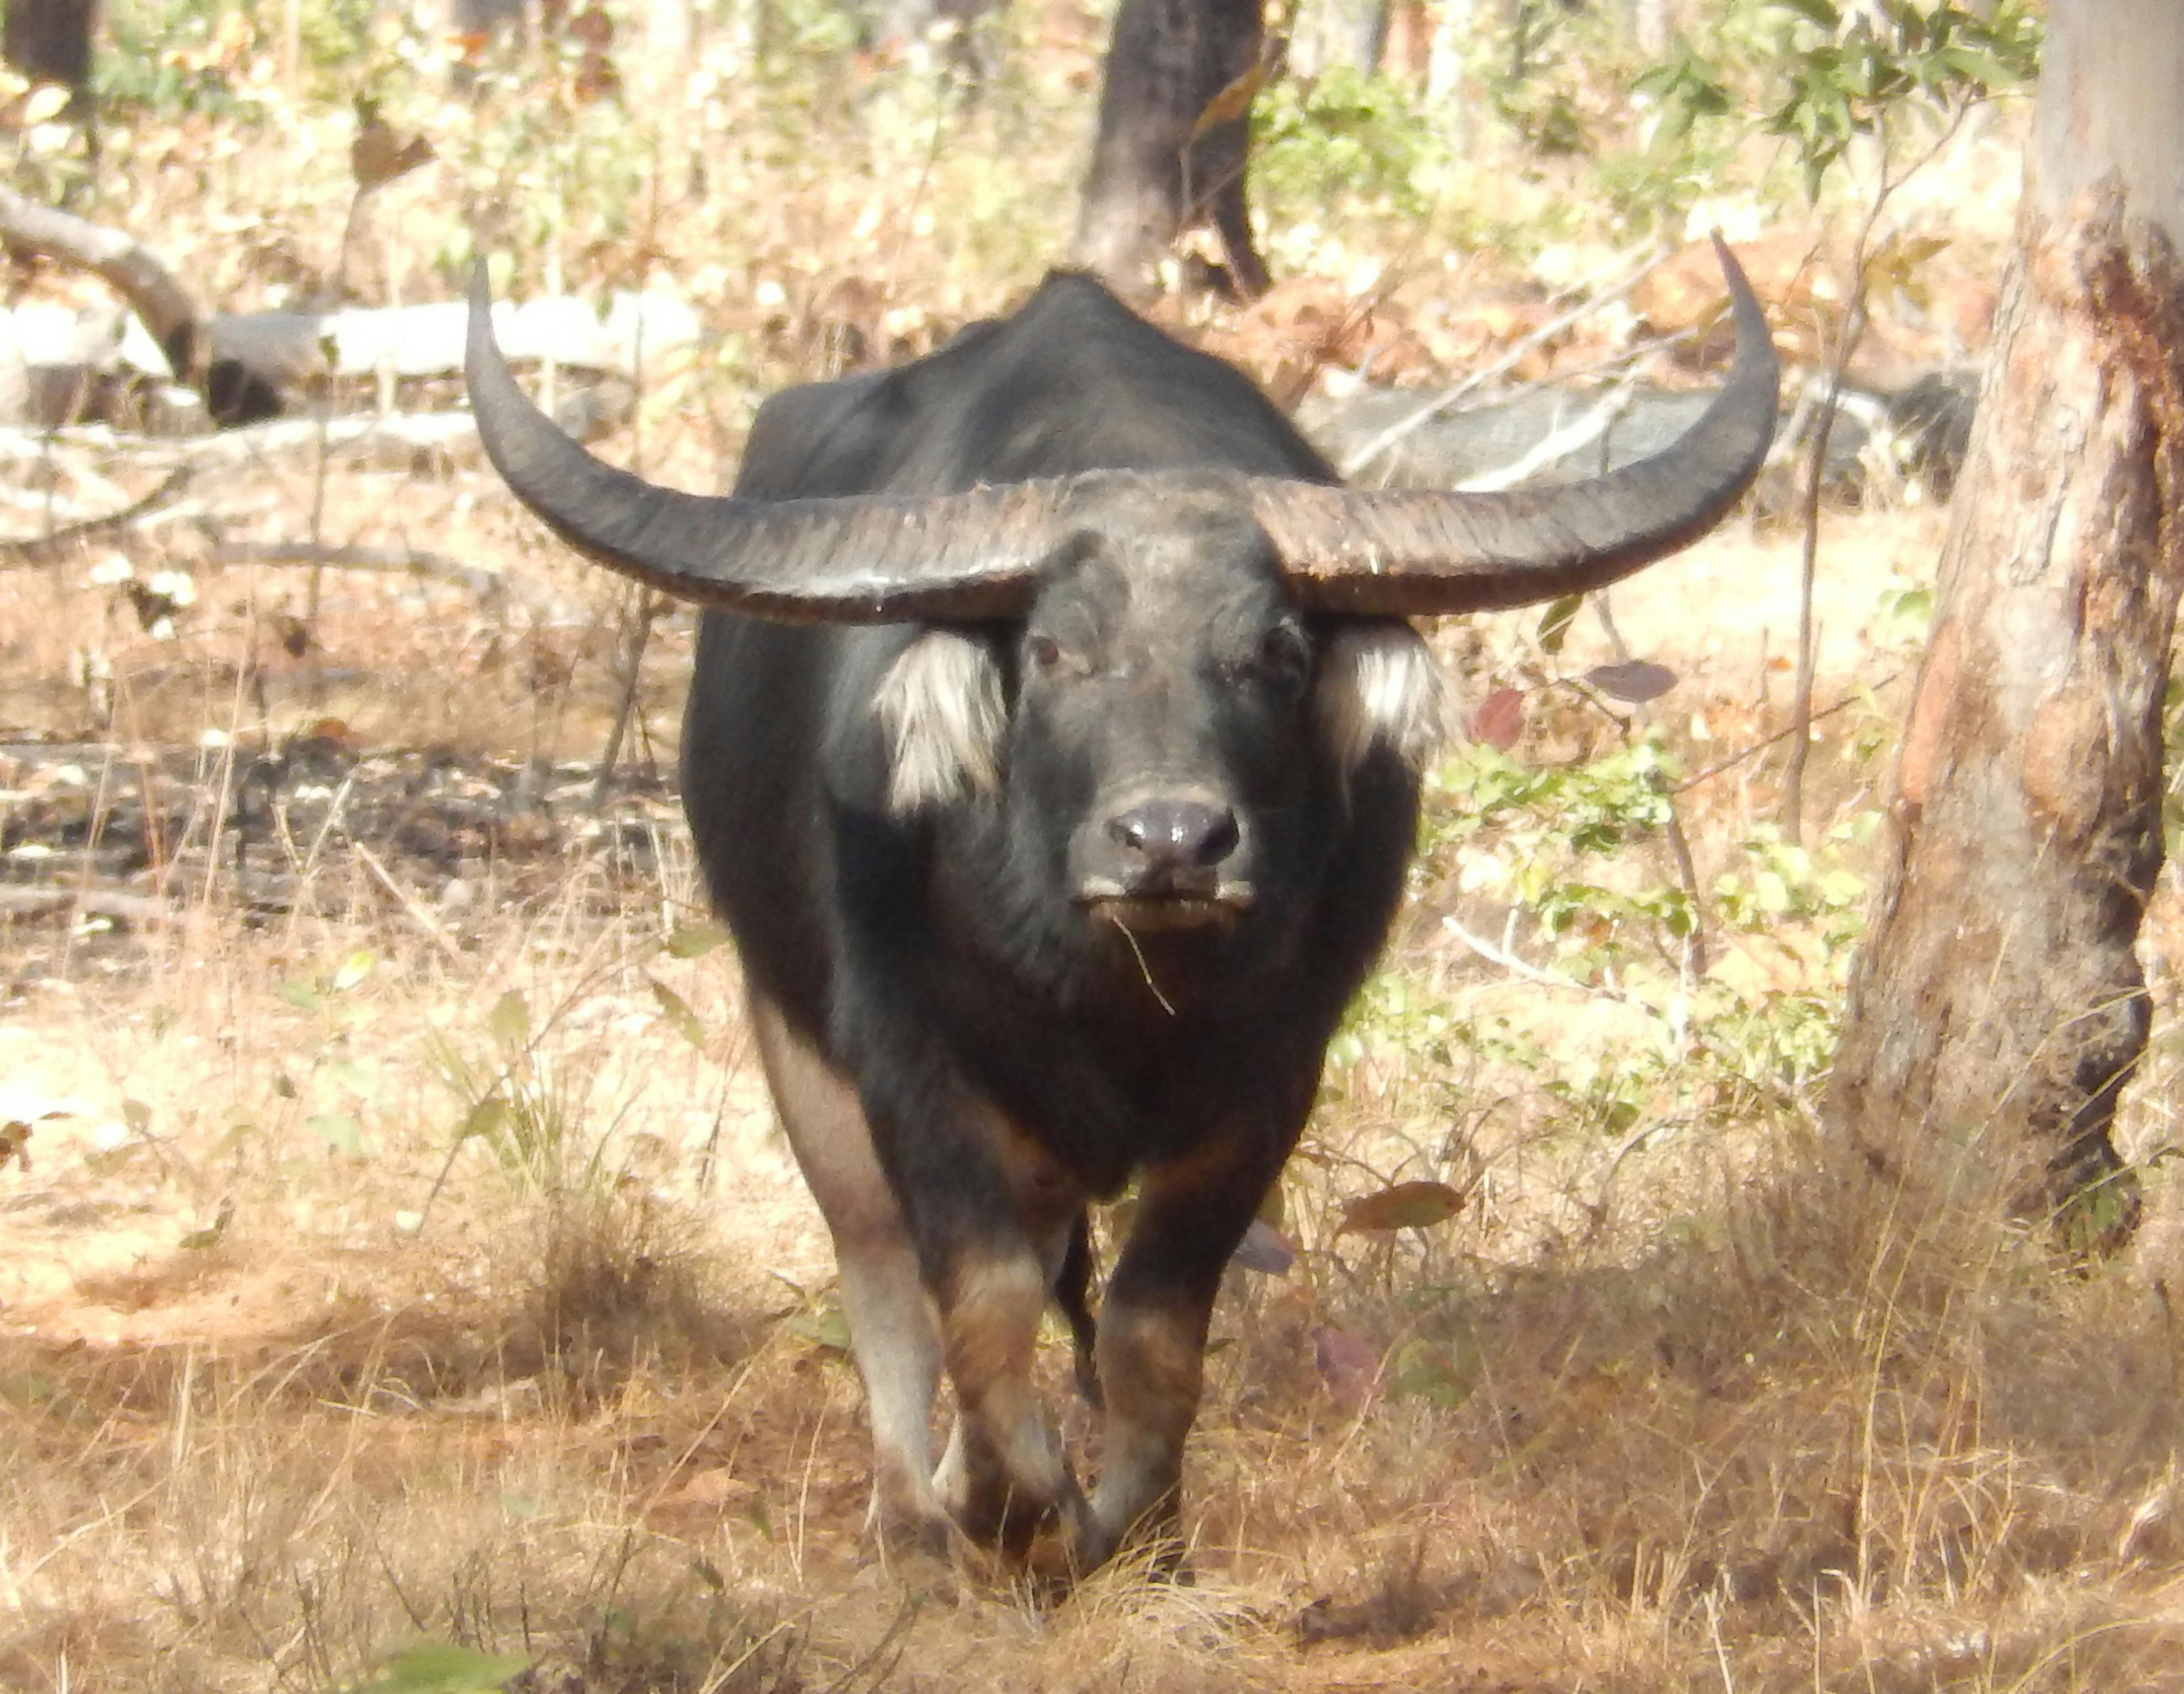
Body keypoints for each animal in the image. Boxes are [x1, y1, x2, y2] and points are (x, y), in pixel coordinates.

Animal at [465, 242, 1777, 1573]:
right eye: (1051, 652)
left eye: (1276, 651)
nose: (1171, 842)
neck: (1111, 991)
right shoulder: (909, 1060)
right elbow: (977, 1291)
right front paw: (1013, 1510)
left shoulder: (1269, 1078)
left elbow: (1153, 1317)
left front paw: (1136, 1525)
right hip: (791, 1032)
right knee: (879, 1266)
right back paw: (913, 1512)